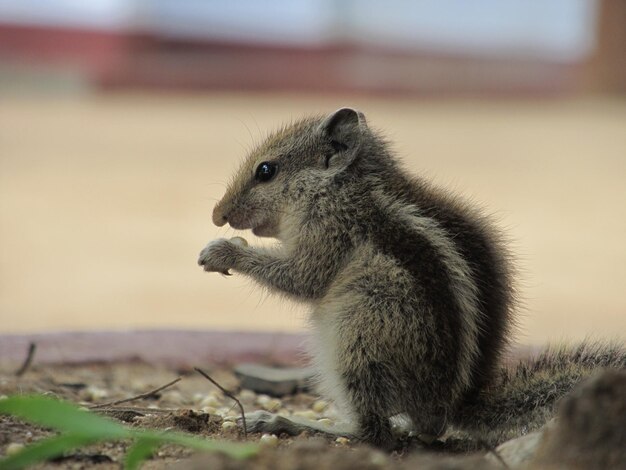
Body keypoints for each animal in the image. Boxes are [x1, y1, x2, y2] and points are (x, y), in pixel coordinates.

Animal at [196, 106, 624, 448]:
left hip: (359, 338)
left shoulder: (328, 232)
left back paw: (289, 421)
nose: (217, 214)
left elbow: (303, 278)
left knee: (375, 434)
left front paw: (221, 252)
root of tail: (450, 405)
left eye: (266, 171)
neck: (341, 186)